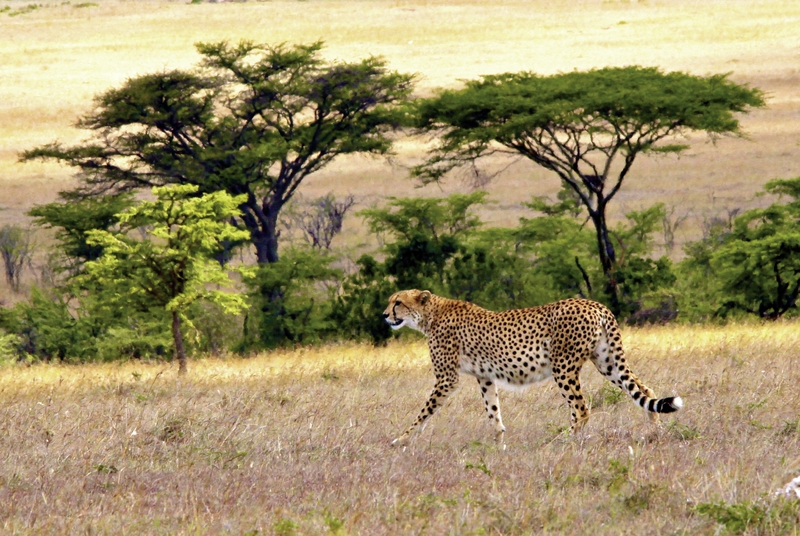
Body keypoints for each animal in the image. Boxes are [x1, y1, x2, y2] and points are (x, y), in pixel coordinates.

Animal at [384, 292, 684, 446]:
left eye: (398, 302)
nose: (385, 315)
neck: (431, 314)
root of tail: (596, 304)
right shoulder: (485, 377)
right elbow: (493, 410)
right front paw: (498, 442)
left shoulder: (446, 379)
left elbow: (424, 412)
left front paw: (401, 439)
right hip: (607, 362)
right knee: (645, 390)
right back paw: (653, 433)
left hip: (563, 366)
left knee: (581, 408)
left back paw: (562, 441)